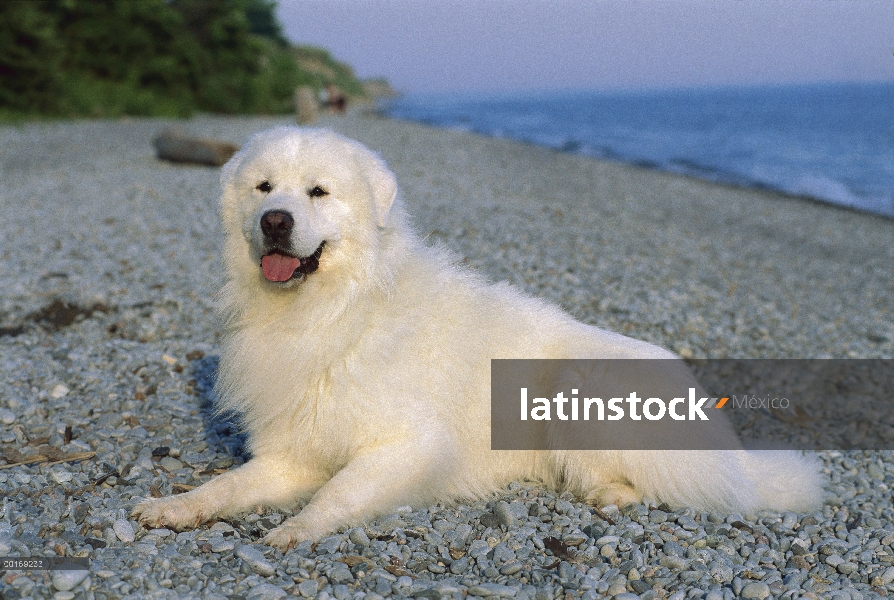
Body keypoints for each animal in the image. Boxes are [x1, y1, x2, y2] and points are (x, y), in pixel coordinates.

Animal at [130, 126, 824, 548]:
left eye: (318, 192)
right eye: (264, 187)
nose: (276, 221)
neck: (336, 308)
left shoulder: (408, 444)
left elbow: (340, 490)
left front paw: (295, 530)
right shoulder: (291, 453)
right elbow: (229, 486)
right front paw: (176, 508)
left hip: (580, 385)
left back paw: (605, 493)